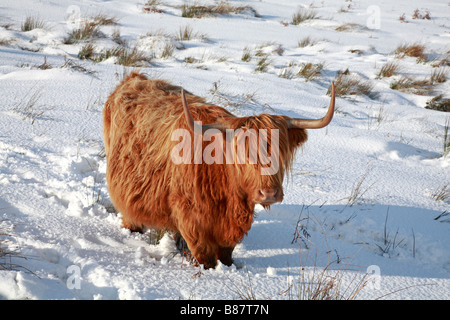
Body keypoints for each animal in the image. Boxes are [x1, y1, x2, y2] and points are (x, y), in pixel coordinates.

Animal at [103, 71, 334, 268]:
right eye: (243, 154)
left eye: (281, 152)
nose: (269, 193)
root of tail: (134, 78)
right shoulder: (191, 219)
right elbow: (204, 255)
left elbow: (226, 253)